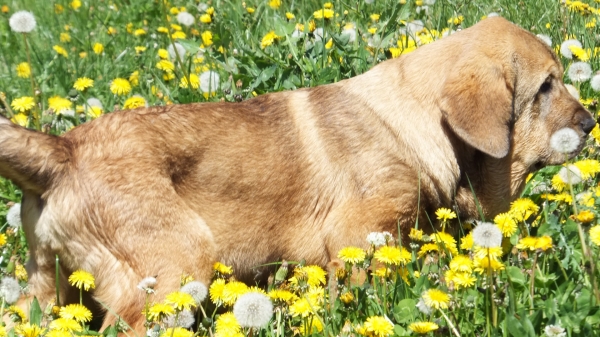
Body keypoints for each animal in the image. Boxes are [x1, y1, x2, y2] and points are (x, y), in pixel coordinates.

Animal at [0, 17, 592, 330]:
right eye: (545, 87)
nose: (589, 123)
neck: (414, 120)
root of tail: (62, 149)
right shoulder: (359, 241)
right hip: (174, 272)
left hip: (47, 289)